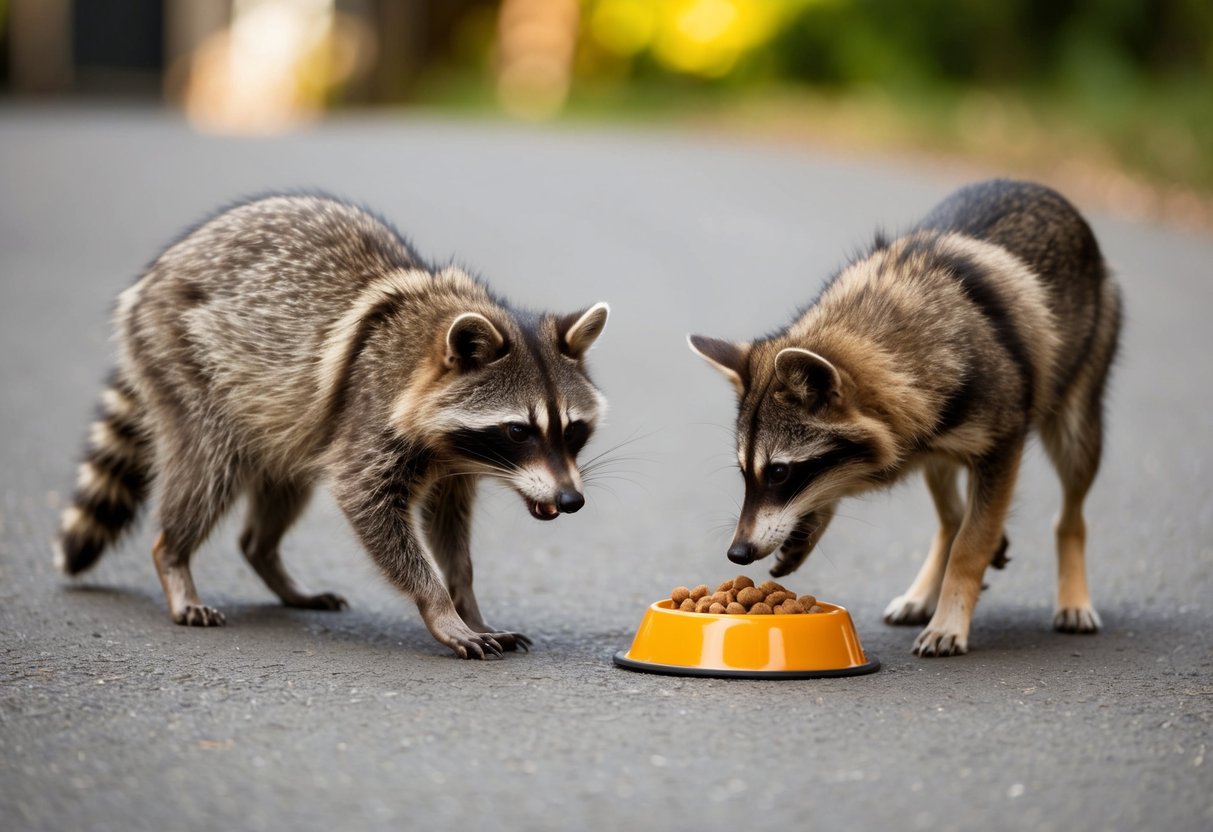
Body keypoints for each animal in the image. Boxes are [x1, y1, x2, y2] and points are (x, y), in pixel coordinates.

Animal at [56, 194, 609, 659]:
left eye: (573, 430)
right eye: (519, 431)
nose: (570, 500)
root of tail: (151, 277)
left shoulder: (454, 467)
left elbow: (451, 530)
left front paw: (467, 602)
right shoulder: (370, 413)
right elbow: (364, 500)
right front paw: (439, 606)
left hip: (285, 423)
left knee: (281, 487)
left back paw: (267, 560)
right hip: (183, 360)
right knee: (208, 469)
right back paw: (173, 557)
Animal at [690, 179, 1120, 657]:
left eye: (779, 472)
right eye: (744, 472)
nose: (738, 553)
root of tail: (1042, 189)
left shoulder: (1002, 435)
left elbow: (973, 540)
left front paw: (954, 606)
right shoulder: (914, 430)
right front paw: (814, 519)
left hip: (1082, 387)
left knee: (1070, 496)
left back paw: (1069, 578)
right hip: (938, 445)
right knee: (948, 512)